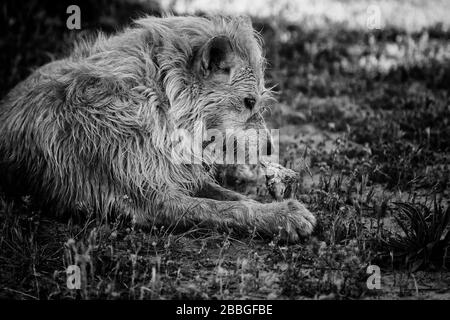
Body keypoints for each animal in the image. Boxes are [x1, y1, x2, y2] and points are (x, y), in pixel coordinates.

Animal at [0, 15, 314, 240]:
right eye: (249, 101)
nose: (271, 146)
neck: (157, 100)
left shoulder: (177, 175)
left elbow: (233, 196)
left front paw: (275, 207)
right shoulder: (154, 200)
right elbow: (228, 209)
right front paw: (283, 216)